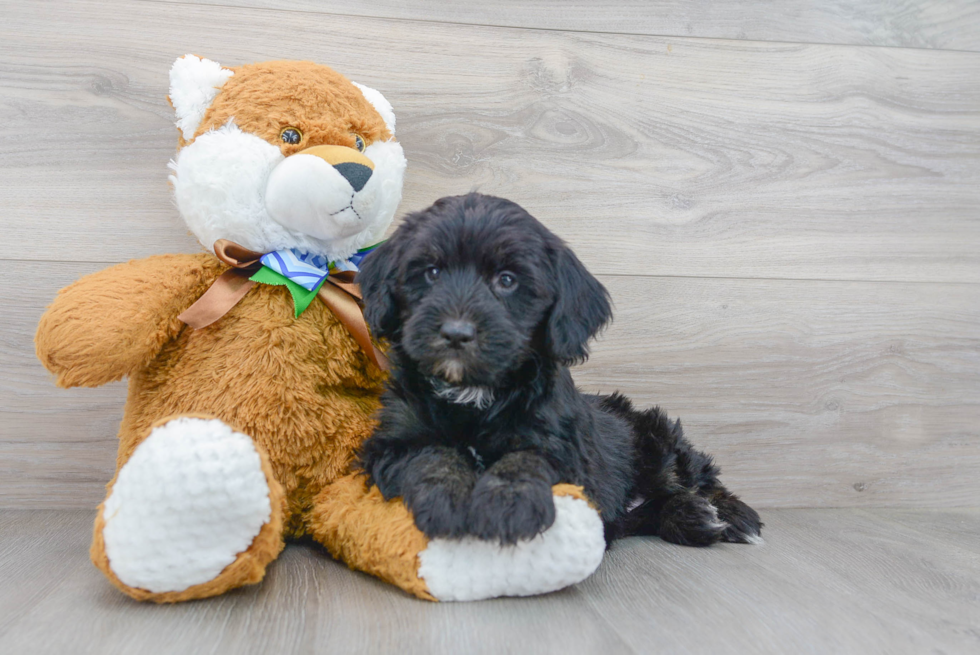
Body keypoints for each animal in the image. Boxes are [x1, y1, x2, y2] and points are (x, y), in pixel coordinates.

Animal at [356, 195, 760, 548]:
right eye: (432, 272)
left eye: (507, 280)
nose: (456, 333)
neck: (473, 393)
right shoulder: (391, 442)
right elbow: (431, 455)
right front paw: (447, 500)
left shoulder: (562, 447)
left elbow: (526, 458)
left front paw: (509, 507)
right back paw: (692, 516)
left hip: (659, 439)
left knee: (696, 476)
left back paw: (725, 513)